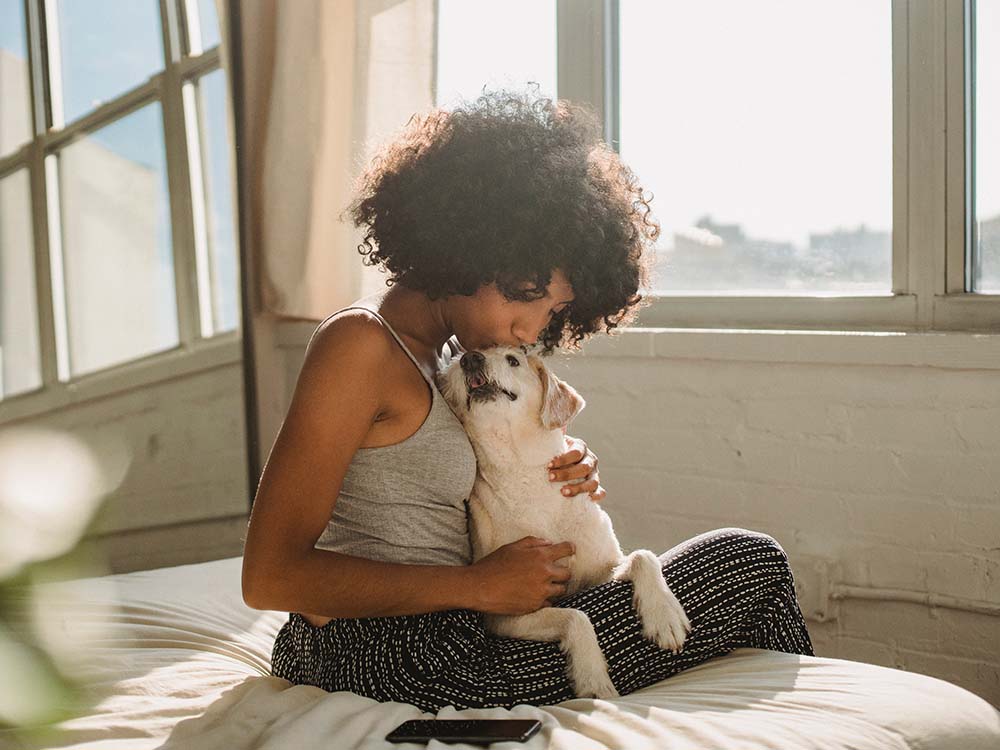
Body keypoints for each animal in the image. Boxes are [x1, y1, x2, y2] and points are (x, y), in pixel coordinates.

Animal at [434, 346, 692, 700]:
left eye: (513, 359)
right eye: (456, 365)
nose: (470, 358)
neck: (525, 474)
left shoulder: (600, 571)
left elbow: (643, 556)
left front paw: (664, 616)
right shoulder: (505, 616)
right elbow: (575, 616)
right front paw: (592, 679)